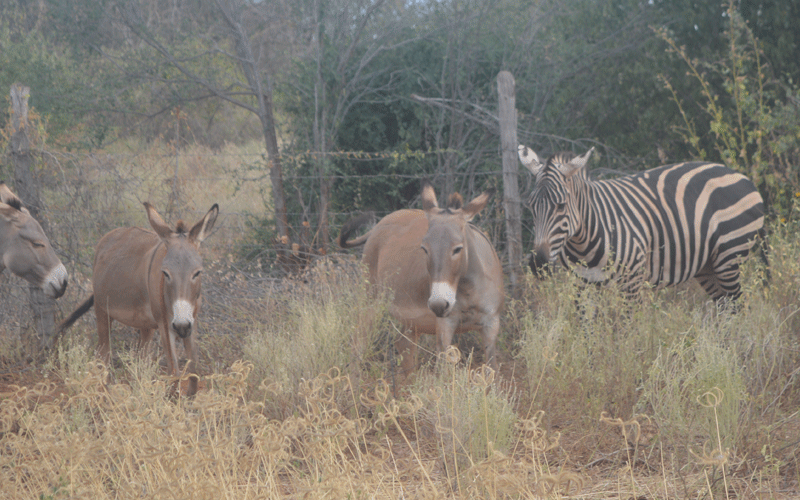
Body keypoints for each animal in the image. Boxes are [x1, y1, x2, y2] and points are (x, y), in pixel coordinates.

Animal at [520, 145, 764, 300]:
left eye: (560, 206)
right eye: (531, 206)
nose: (538, 264)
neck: (584, 242)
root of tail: (743, 177)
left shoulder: (631, 283)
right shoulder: (582, 286)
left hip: (730, 256)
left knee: (736, 307)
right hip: (708, 265)